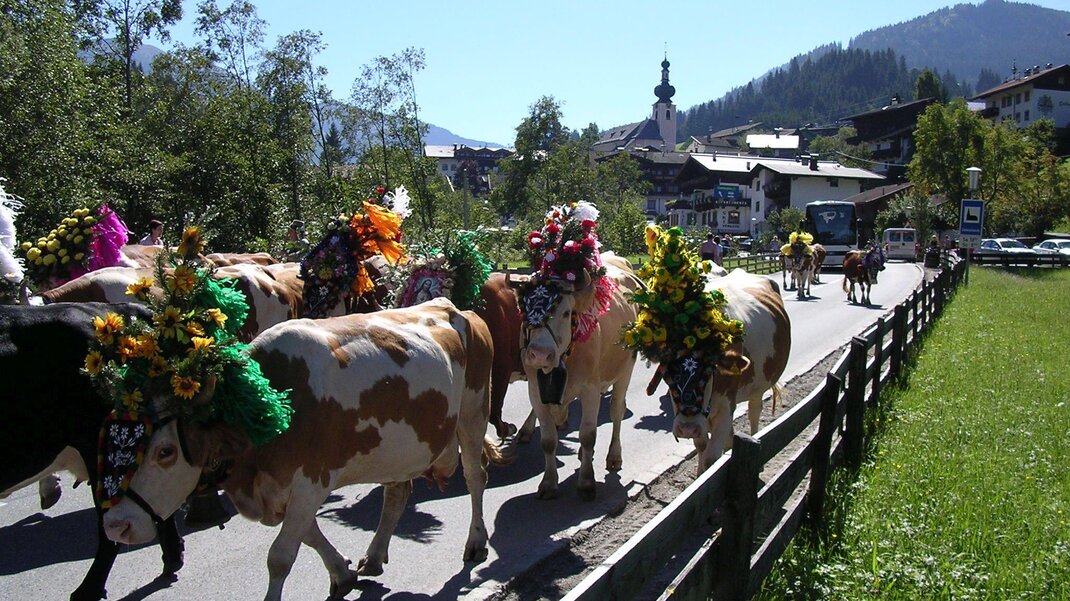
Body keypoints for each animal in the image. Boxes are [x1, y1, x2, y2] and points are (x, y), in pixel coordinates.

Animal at [101, 298, 505, 601]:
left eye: (165, 452)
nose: (115, 525)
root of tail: (455, 308)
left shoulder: (311, 481)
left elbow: (280, 556)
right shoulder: (286, 490)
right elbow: (309, 535)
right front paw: (342, 574)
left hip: (472, 414)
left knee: (475, 476)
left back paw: (475, 542)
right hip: (400, 448)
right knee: (396, 494)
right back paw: (374, 556)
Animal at [514, 262, 641, 500]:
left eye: (565, 313)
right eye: (525, 312)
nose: (539, 354)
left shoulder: (590, 389)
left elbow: (588, 435)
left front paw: (586, 482)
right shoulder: (535, 391)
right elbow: (548, 441)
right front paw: (548, 483)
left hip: (625, 370)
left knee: (616, 411)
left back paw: (614, 455)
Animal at [649, 269, 790, 476]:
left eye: (709, 371)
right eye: (667, 376)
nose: (687, 429)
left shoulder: (725, 406)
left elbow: (711, 458)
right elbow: (701, 445)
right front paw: (700, 474)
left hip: (758, 387)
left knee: (754, 413)